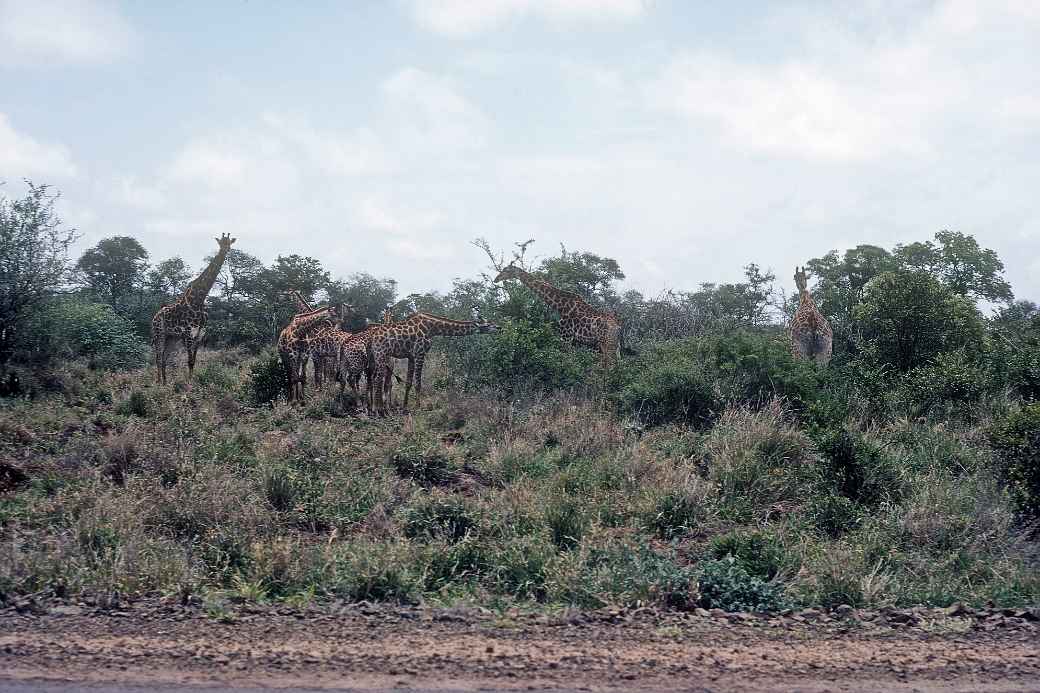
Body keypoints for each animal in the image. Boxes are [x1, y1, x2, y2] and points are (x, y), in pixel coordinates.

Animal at [151, 234, 236, 384]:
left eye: (229, 244)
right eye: (220, 244)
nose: (225, 251)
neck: (199, 299)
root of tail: (155, 316)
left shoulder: (199, 335)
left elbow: (193, 361)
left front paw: (193, 382)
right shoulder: (189, 334)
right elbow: (189, 361)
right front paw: (189, 385)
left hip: (172, 337)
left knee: (164, 357)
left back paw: (166, 383)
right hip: (159, 333)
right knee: (158, 357)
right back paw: (159, 383)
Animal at [368, 313, 499, 415]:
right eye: (488, 324)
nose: (499, 327)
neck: (433, 328)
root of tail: (372, 337)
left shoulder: (411, 356)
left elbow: (409, 382)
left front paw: (405, 407)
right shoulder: (420, 353)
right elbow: (418, 383)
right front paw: (418, 407)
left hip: (376, 358)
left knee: (374, 379)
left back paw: (376, 407)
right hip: (381, 355)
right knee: (377, 379)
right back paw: (377, 409)